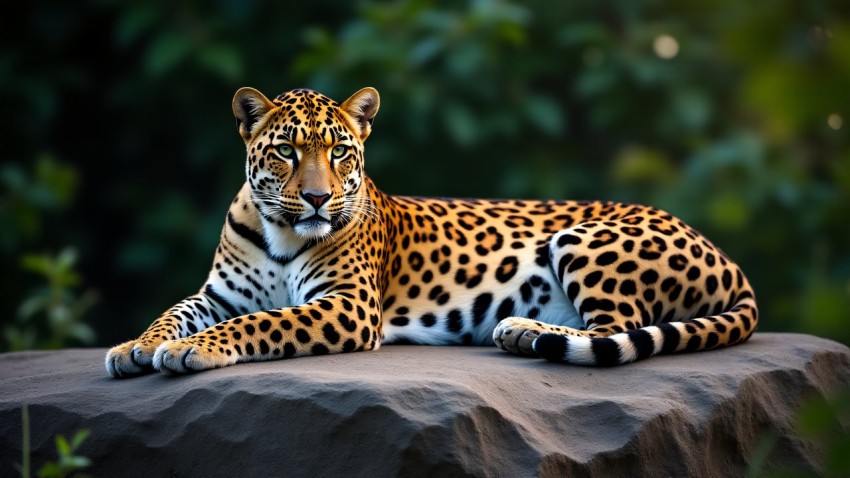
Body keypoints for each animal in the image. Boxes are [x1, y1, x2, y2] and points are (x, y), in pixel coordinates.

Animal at [102, 86, 760, 378]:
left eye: (340, 152)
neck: (281, 231)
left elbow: (263, 322)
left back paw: (523, 331)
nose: (316, 197)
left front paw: (192, 350)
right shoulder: (217, 294)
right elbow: (173, 312)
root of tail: (729, 259)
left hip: (585, 239)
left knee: (616, 331)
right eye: (287, 152)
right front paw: (134, 346)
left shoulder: (347, 304)